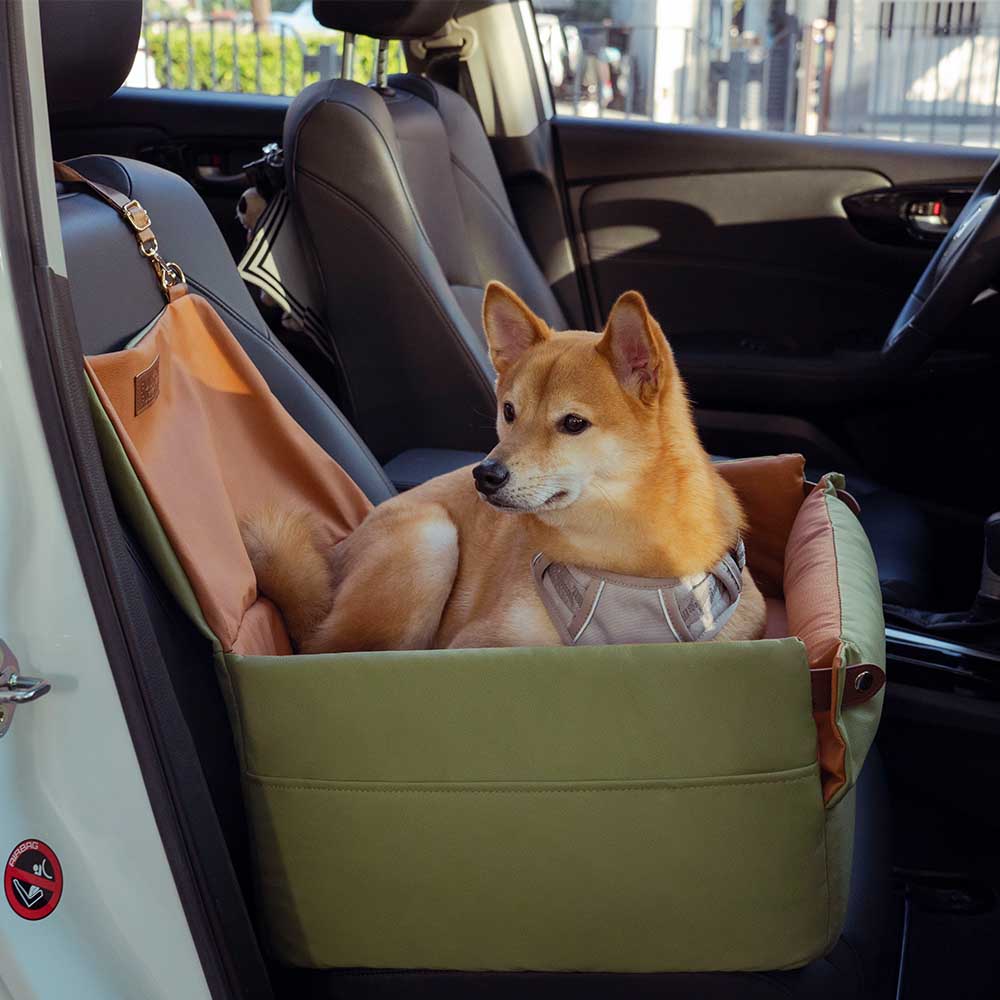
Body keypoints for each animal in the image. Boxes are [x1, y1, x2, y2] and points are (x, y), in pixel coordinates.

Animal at [242, 284, 764, 656]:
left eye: (573, 423)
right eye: (509, 411)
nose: (485, 475)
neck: (623, 554)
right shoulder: (478, 642)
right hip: (429, 541)